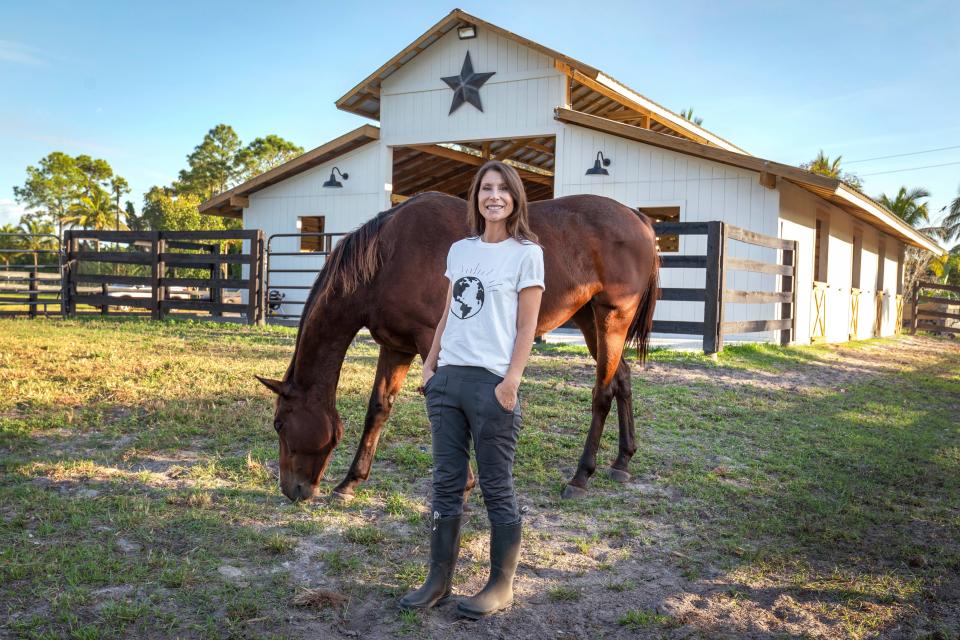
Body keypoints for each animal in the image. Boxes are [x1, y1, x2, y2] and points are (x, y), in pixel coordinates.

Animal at [256, 192, 660, 502]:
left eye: (279, 424)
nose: (292, 490)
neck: (388, 255)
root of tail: (637, 217)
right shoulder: (396, 347)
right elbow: (378, 409)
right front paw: (350, 482)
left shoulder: (428, 340)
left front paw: (463, 484)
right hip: (590, 320)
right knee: (622, 379)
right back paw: (622, 461)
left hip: (612, 318)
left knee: (603, 392)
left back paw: (581, 476)